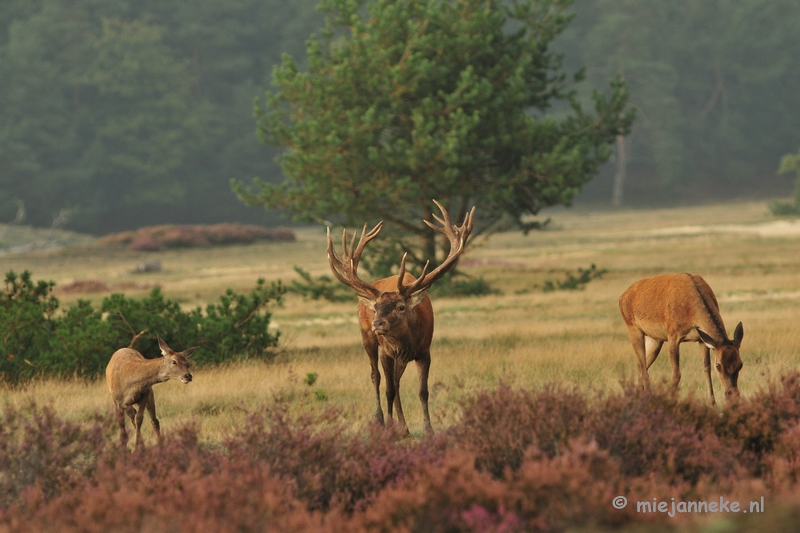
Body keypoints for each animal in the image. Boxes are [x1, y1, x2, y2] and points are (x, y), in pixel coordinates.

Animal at [326, 197, 476, 434]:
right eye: (376, 307)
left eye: (401, 307)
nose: (378, 323)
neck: (406, 342)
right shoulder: (386, 353)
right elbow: (388, 389)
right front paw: (389, 427)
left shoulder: (425, 352)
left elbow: (422, 391)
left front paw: (428, 429)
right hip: (366, 337)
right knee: (377, 377)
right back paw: (381, 421)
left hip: (400, 357)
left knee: (396, 383)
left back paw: (403, 427)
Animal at [620, 272, 744, 406]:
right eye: (719, 365)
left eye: (740, 364)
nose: (733, 395)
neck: (691, 313)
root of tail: (622, 297)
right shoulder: (672, 335)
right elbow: (676, 374)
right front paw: (672, 401)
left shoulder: (701, 339)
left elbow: (706, 368)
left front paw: (713, 404)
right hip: (633, 328)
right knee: (643, 369)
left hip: (655, 338)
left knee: (640, 365)